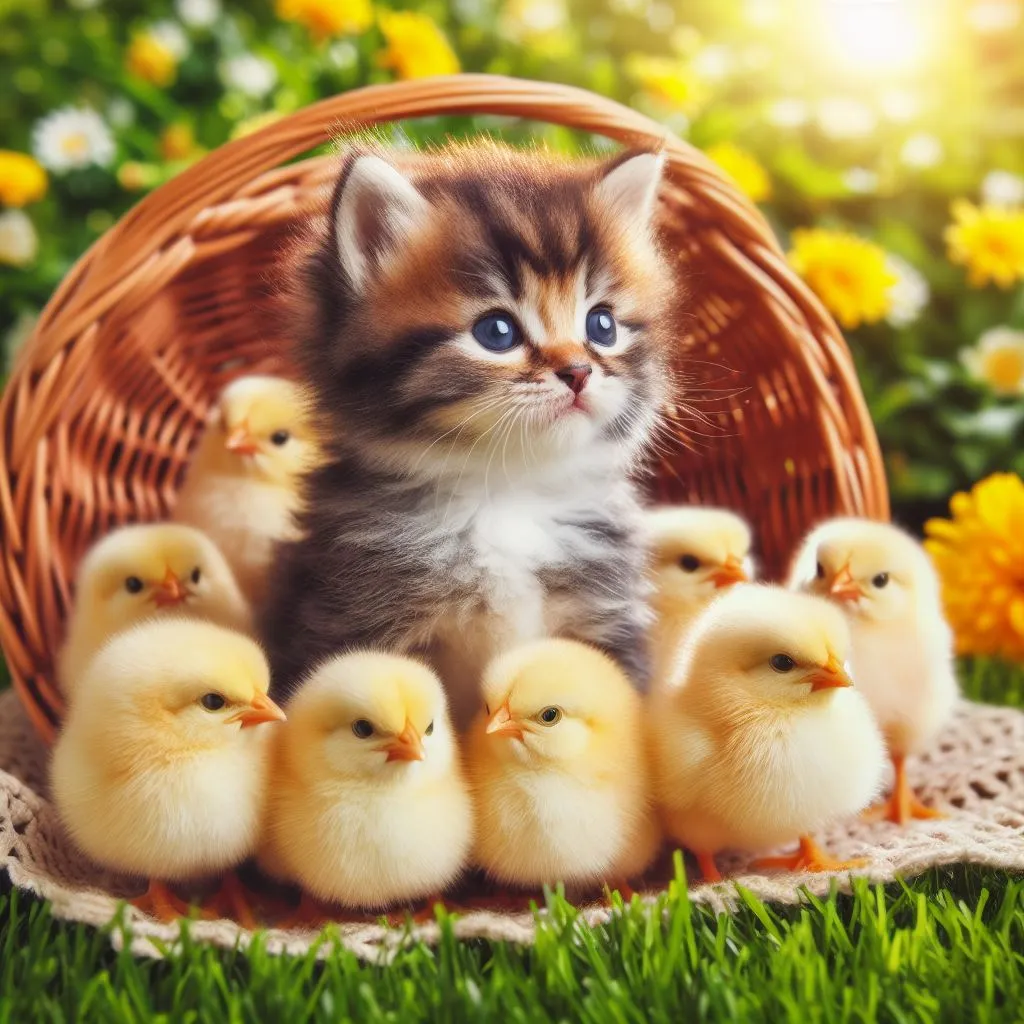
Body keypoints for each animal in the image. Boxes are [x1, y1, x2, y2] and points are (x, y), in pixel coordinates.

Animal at [264, 140, 675, 729]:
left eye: (602, 325)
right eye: (496, 332)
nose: (578, 371)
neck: (506, 492)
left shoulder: (606, 616)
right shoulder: (356, 613)